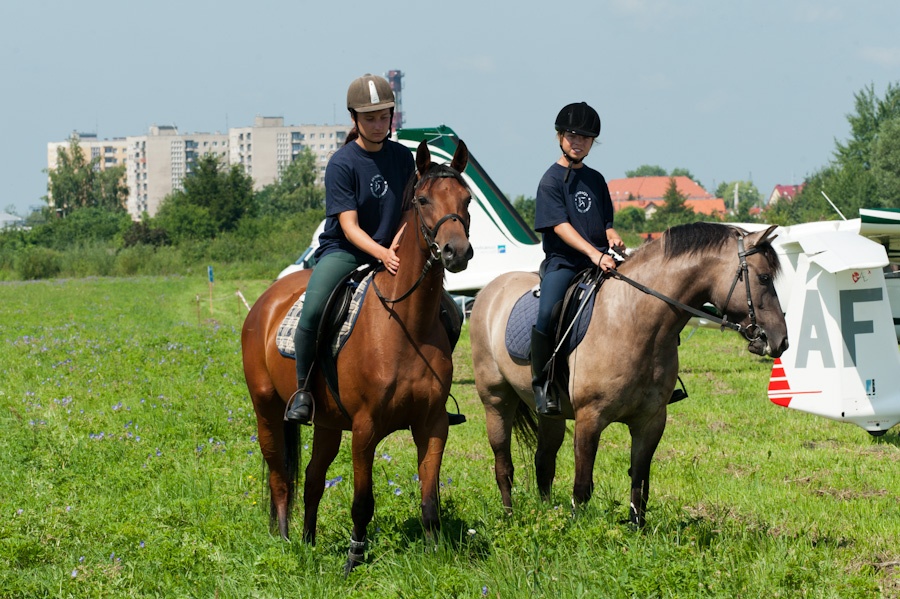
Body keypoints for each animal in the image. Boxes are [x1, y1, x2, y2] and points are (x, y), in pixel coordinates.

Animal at [243, 138, 474, 576]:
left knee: (312, 479)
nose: (456, 252)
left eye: (467, 199)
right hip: (268, 409)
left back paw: (308, 542)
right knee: (280, 477)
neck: (406, 323)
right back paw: (284, 542)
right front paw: (353, 559)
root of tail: (265, 302)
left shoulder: (433, 424)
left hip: (327, 423)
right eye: (423, 200)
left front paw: (435, 555)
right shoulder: (366, 430)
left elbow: (429, 499)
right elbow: (363, 501)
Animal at [472, 223, 788, 528]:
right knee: (504, 465)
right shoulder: (589, 419)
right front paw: (576, 529)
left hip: (552, 414)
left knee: (544, 462)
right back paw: (510, 517)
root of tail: (490, 290)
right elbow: (582, 486)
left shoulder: (650, 421)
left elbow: (639, 482)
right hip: (496, 401)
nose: (780, 341)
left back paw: (546, 514)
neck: (632, 320)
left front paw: (637, 530)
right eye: (763, 278)